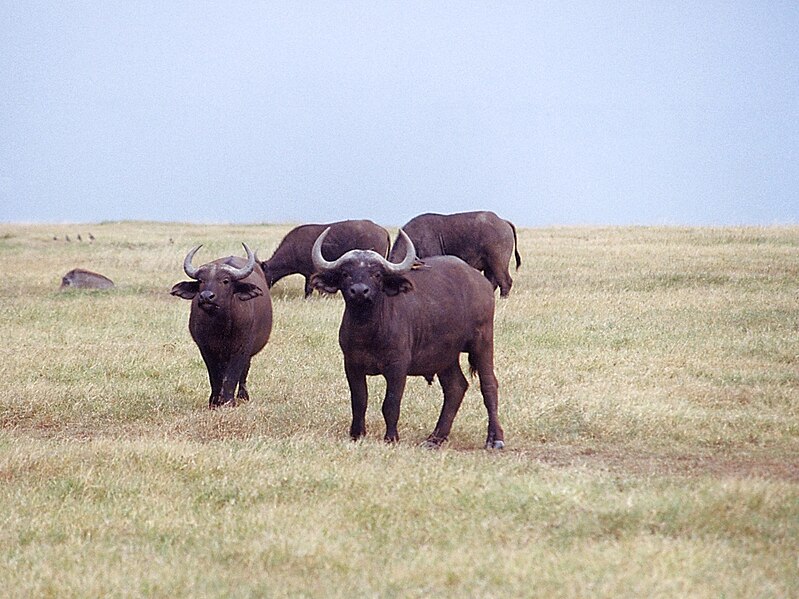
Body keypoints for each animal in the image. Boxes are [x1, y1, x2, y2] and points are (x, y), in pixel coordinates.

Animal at [170, 244, 274, 408]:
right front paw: (214, 401)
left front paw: (228, 401)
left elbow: (232, 375)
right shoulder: (206, 348)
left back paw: (243, 396)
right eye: (201, 280)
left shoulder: (242, 348)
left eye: (225, 281)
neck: (221, 327)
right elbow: (215, 376)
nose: (206, 296)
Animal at [310, 227, 504, 448]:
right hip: (445, 356)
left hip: (483, 342)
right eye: (345, 273)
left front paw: (391, 437)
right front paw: (356, 434)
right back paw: (435, 438)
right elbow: (359, 401)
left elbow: (391, 403)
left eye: (376, 274)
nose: (359, 291)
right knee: (455, 387)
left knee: (489, 386)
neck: (368, 331)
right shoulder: (351, 364)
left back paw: (495, 439)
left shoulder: (397, 367)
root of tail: (482, 283)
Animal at [390, 211, 524, 298]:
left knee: (505, 282)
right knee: (493, 282)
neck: (415, 240)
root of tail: (503, 221)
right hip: (489, 267)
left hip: (498, 263)